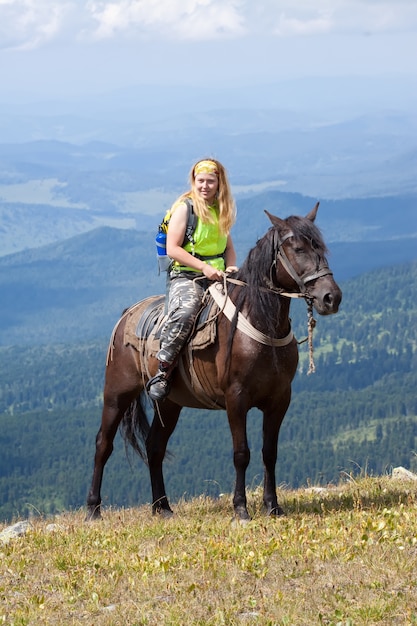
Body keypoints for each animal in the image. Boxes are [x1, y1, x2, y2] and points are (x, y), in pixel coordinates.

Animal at [85, 202, 342, 520]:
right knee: (103, 444)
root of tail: (126, 315)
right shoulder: (236, 399)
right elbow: (241, 453)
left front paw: (273, 506)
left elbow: (269, 453)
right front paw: (241, 509)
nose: (331, 297)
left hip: (169, 403)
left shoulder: (280, 400)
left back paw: (162, 507)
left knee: (154, 447)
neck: (260, 322)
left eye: (321, 248)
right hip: (116, 394)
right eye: (297, 249)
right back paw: (93, 509)